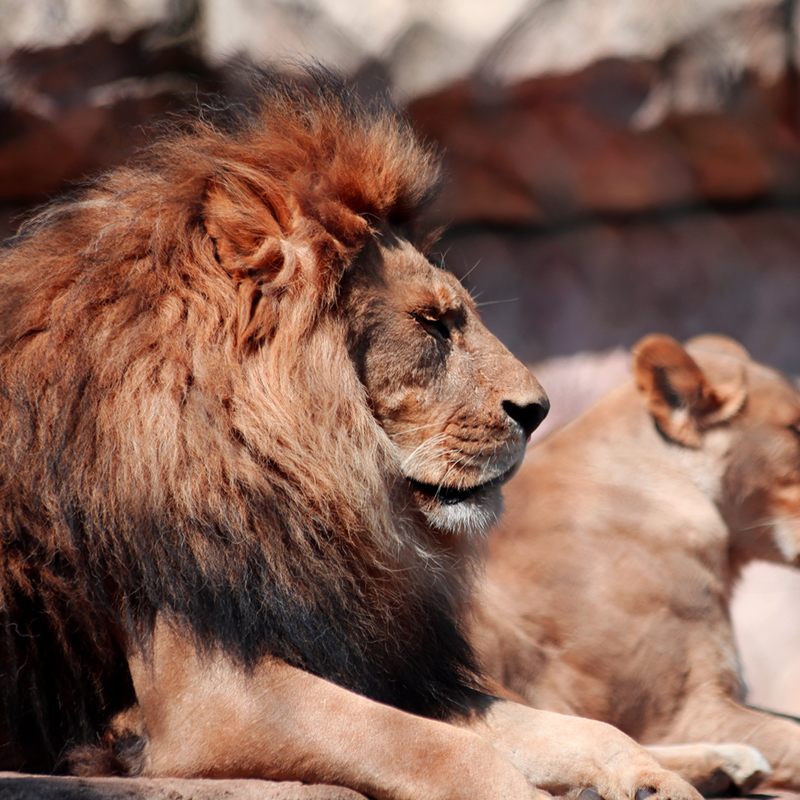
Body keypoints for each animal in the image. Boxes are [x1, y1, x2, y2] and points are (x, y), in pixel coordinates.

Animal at [0, 72, 702, 800]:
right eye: (430, 323)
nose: (538, 410)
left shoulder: (375, 657)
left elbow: (572, 727)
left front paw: (651, 780)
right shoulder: (207, 697)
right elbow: (441, 749)